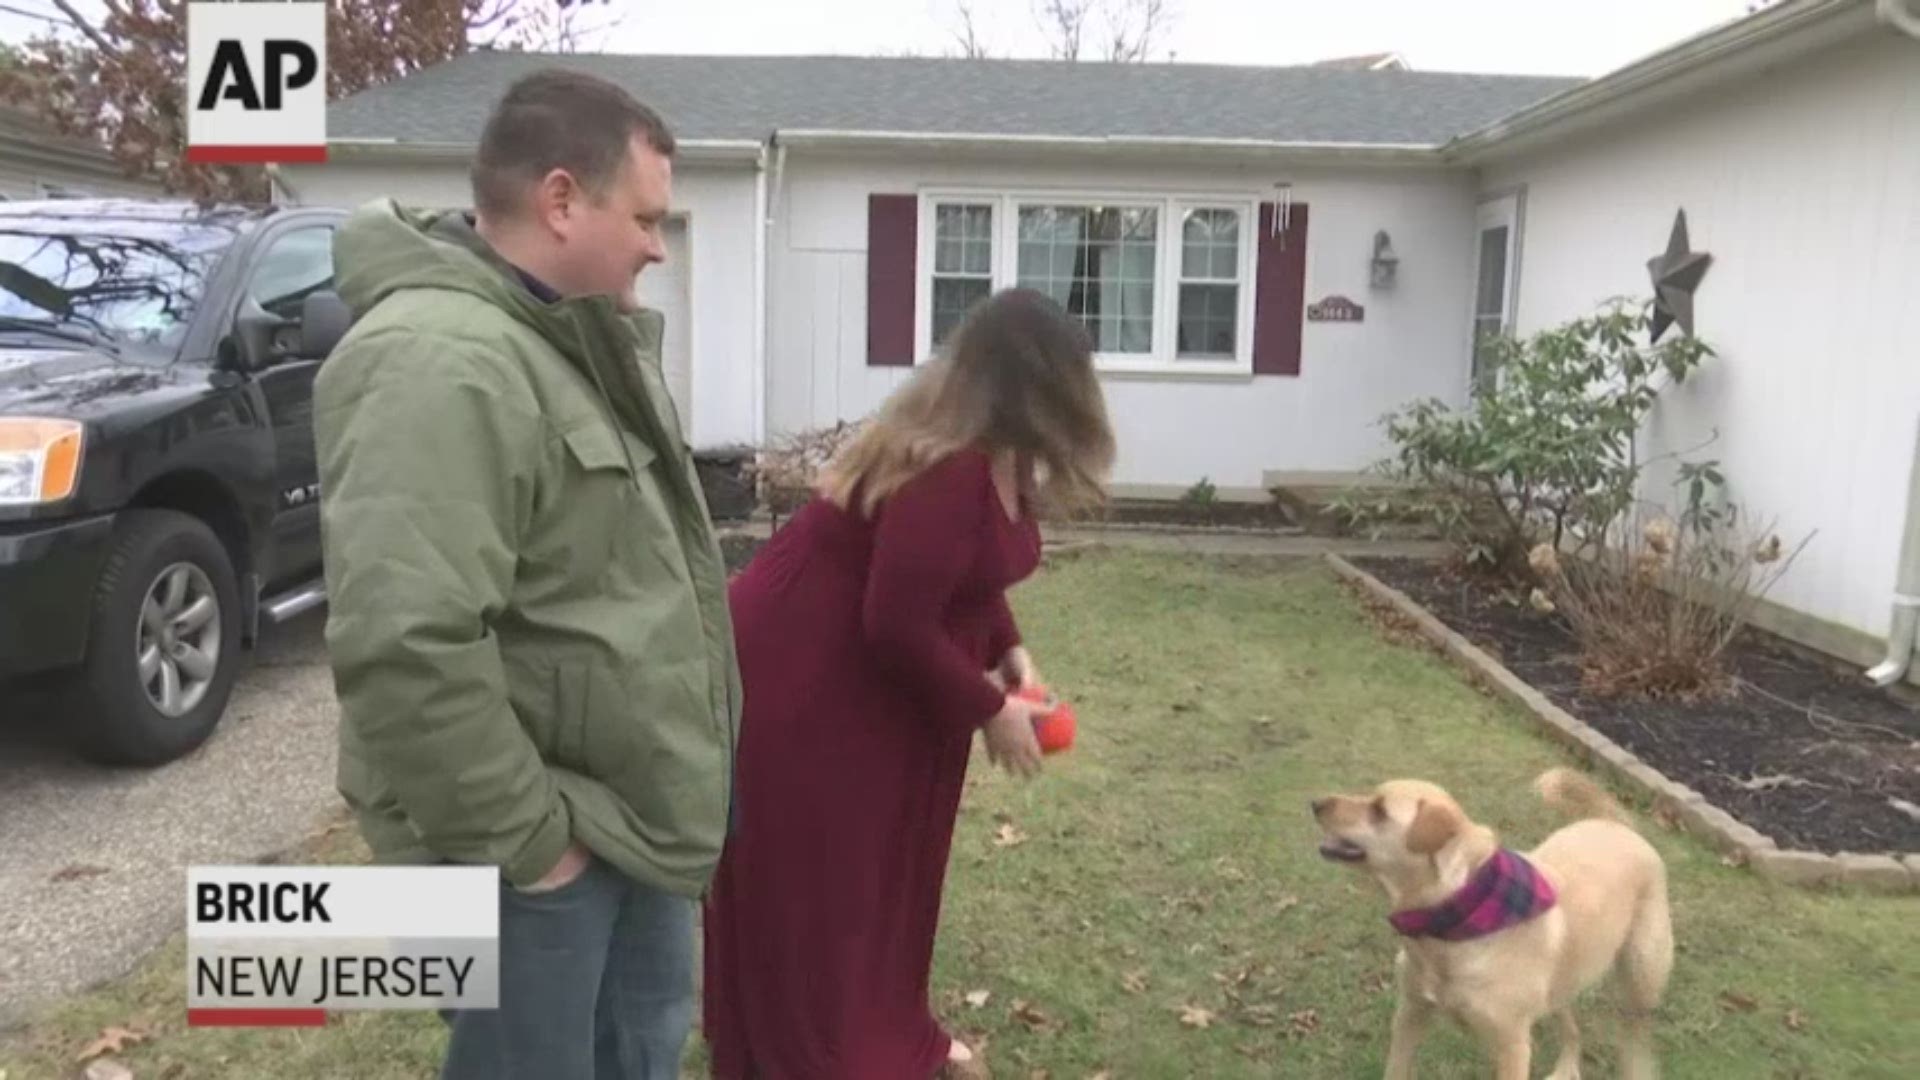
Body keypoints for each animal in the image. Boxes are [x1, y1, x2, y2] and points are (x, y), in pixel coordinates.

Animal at [1313, 764, 1674, 1076]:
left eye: (1379, 810)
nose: (1315, 803)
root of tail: (1616, 825)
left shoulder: (1512, 1047)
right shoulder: (1410, 1014)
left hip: (1640, 982)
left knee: (1635, 1037)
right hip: (1561, 984)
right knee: (1573, 1029)